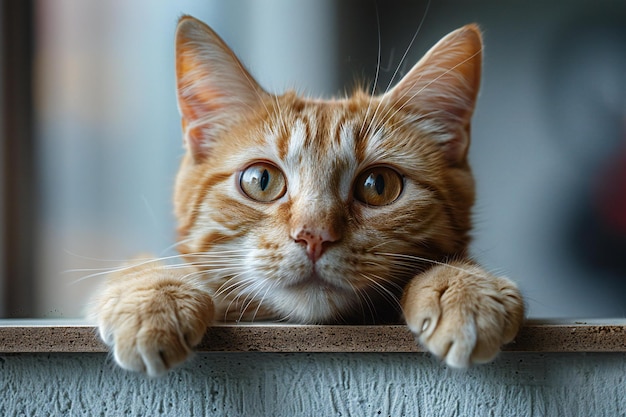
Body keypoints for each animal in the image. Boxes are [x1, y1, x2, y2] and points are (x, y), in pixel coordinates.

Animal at [89, 14, 520, 376]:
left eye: (378, 186)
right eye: (261, 180)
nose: (314, 236)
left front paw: (463, 288)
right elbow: (144, 267)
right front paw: (154, 299)